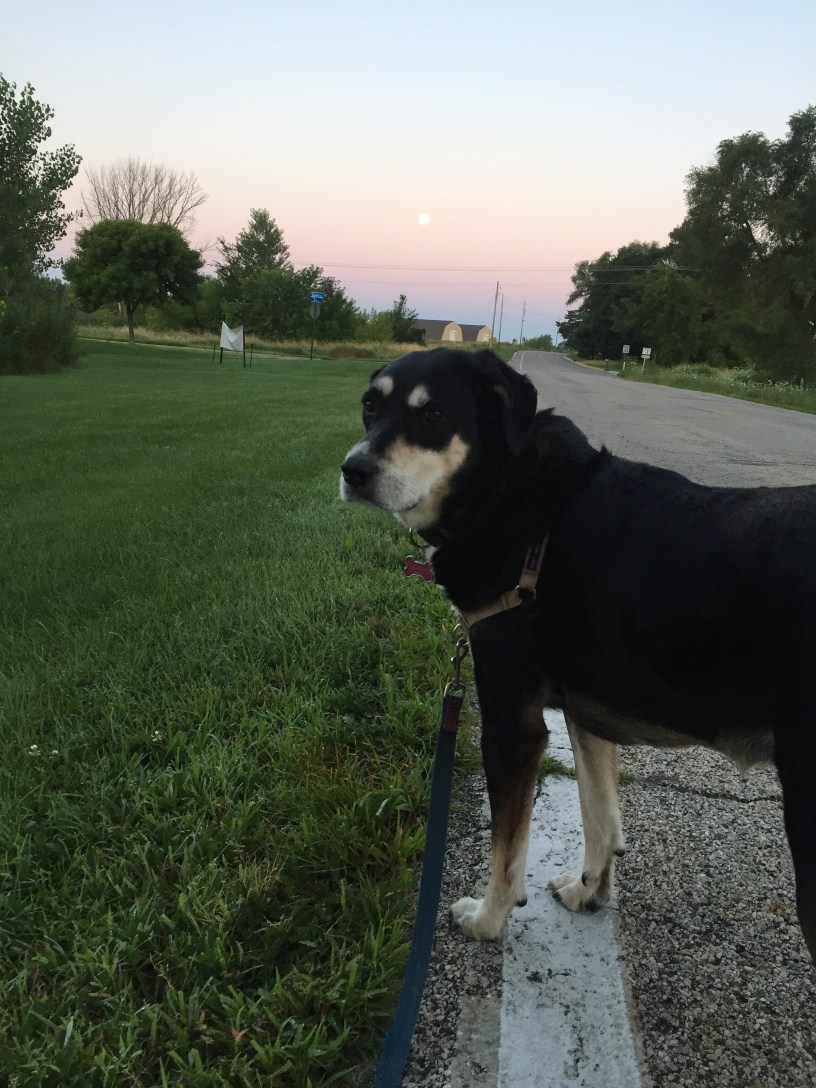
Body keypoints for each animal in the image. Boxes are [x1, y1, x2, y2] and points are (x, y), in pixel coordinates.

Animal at [340, 347, 816, 962]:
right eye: (370, 406)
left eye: (433, 415)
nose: (352, 471)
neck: (513, 495)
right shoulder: (587, 710)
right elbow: (601, 815)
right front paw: (590, 891)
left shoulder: (513, 727)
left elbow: (507, 852)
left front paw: (487, 920)